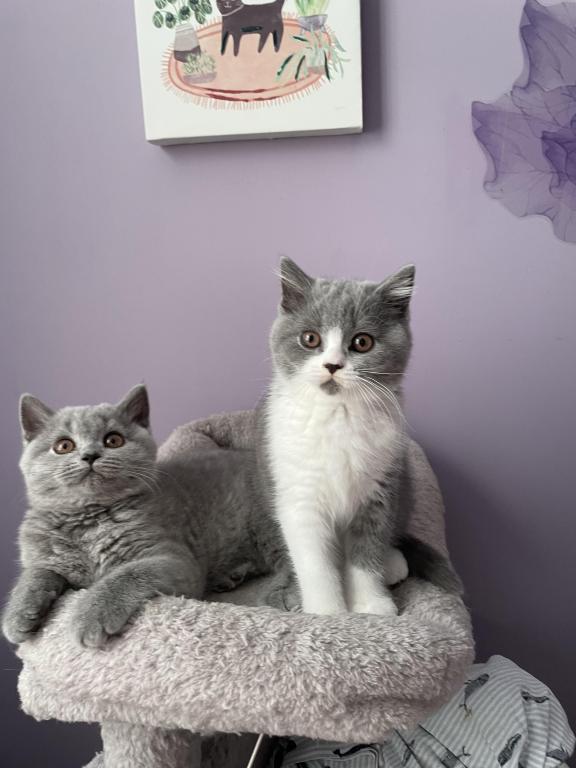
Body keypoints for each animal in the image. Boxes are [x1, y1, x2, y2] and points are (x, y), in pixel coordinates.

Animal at [1, 385, 285, 648]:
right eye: (63, 446)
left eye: (113, 440)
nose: (90, 455)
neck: (89, 521)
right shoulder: (44, 556)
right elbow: (36, 573)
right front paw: (18, 615)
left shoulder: (175, 560)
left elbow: (127, 574)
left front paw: (90, 615)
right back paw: (230, 576)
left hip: (266, 526)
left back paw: (281, 594)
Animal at [263, 258, 418, 617]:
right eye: (310, 338)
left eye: (362, 342)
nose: (332, 365)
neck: (337, 415)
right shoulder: (300, 494)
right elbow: (316, 562)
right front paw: (329, 613)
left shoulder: (379, 489)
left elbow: (367, 550)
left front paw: (371, 605)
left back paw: (392, 562)